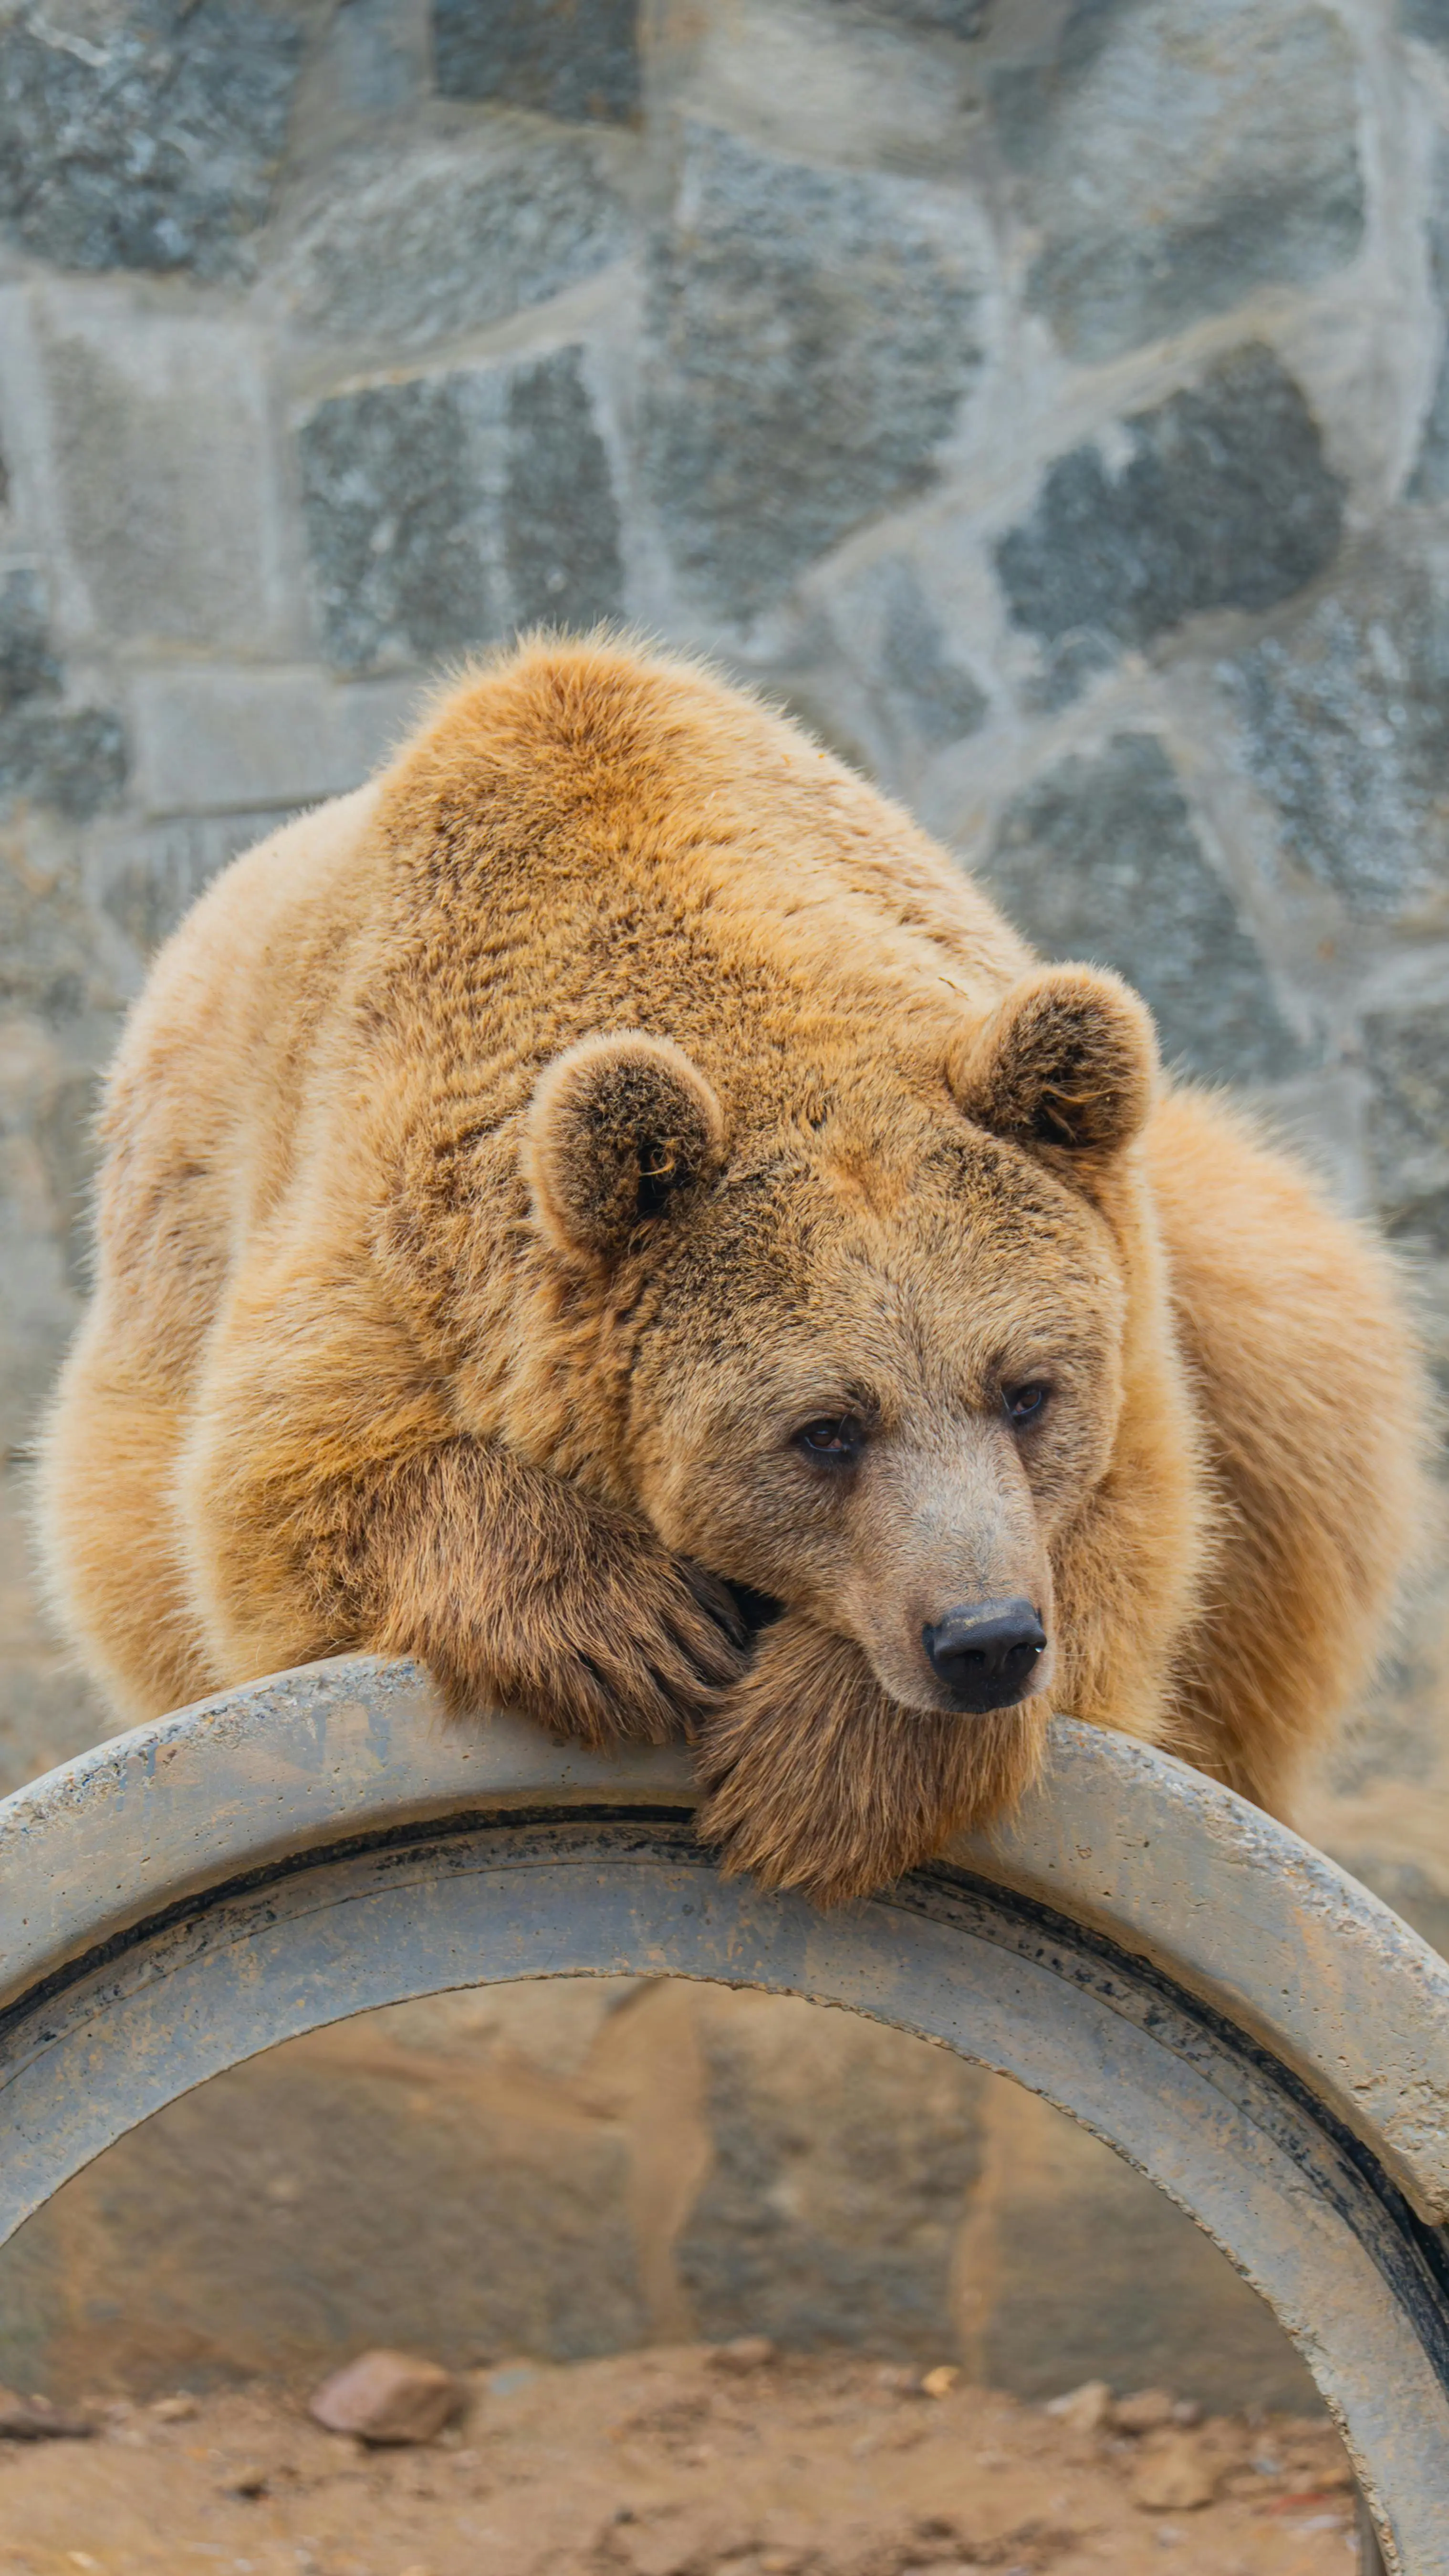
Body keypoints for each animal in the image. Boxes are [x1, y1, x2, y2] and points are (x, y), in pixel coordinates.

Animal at [36, 638, 1424, 1904]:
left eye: (1026, 1392)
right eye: (824, 1428)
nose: (981, 1639)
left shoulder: (1122, 1320)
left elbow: (1132, 1542)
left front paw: (820, 1771)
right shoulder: (392, 1243)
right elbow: (278, 1499)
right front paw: (633, 1631)